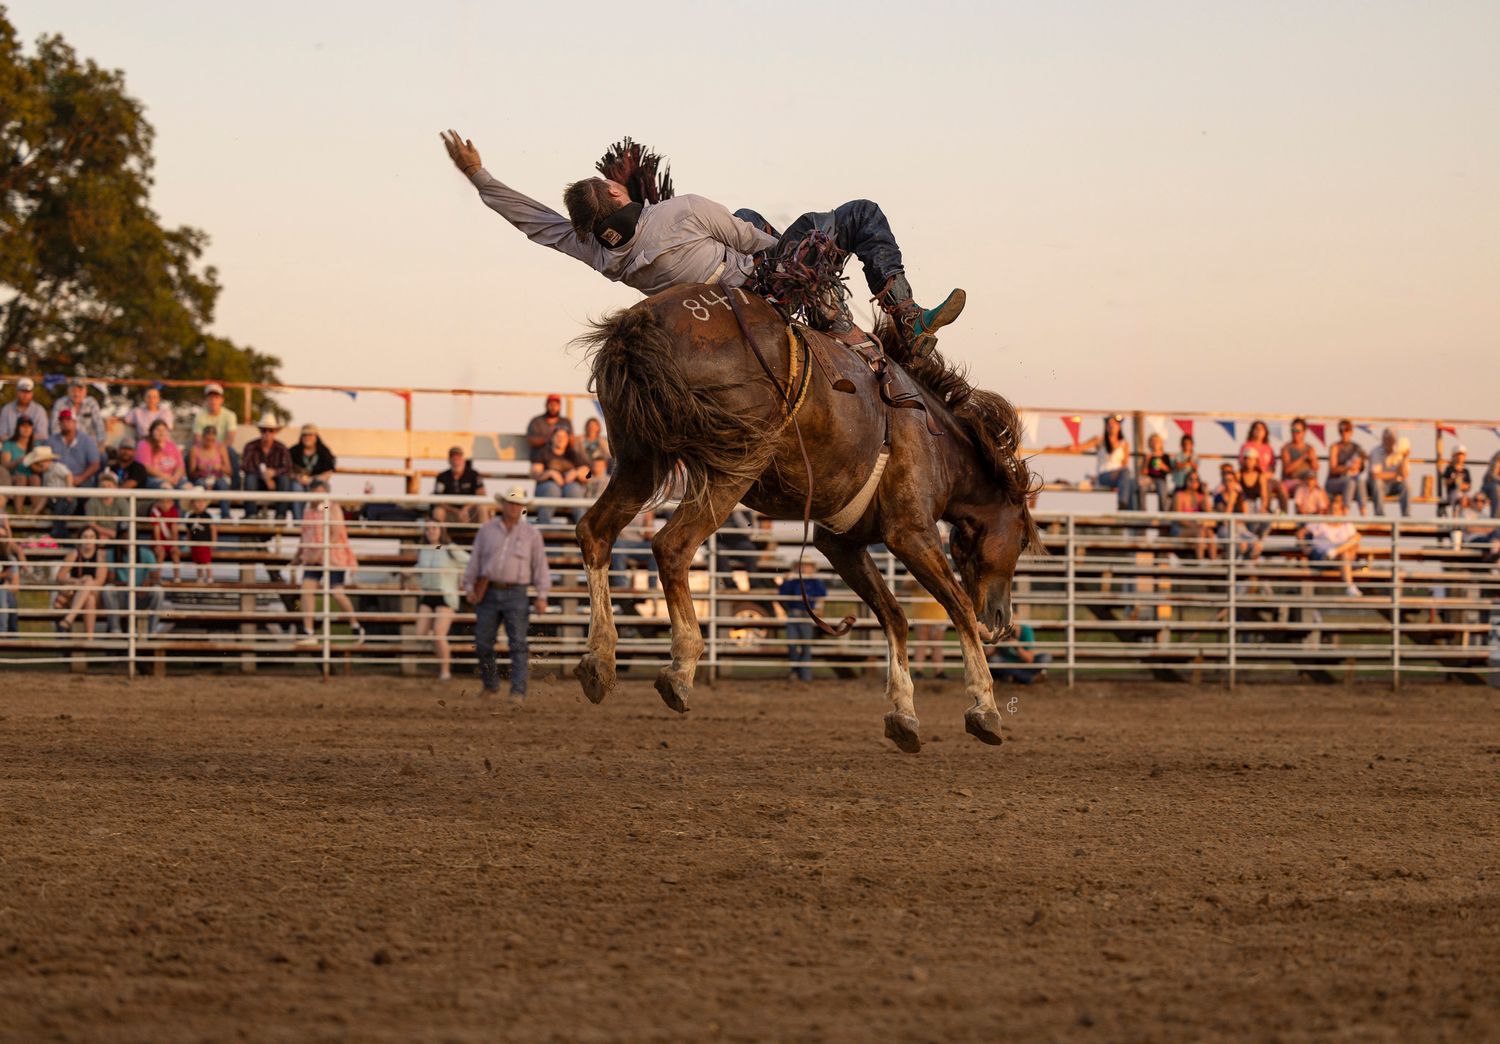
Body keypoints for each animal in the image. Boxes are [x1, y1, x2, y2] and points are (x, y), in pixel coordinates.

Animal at [572, 283, 1040, 753]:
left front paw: (903, 714)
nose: (1002, 619)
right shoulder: (911, 533)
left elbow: (893, 615)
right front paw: (985, 708)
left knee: (596, 532)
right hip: (733, 463)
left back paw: (599, 660)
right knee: (672, 545)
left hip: (640, 459)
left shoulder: (840, 544)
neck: (933, 439)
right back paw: (680, 669)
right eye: (1021, 541)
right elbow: (957, 606)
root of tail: (640, 324)